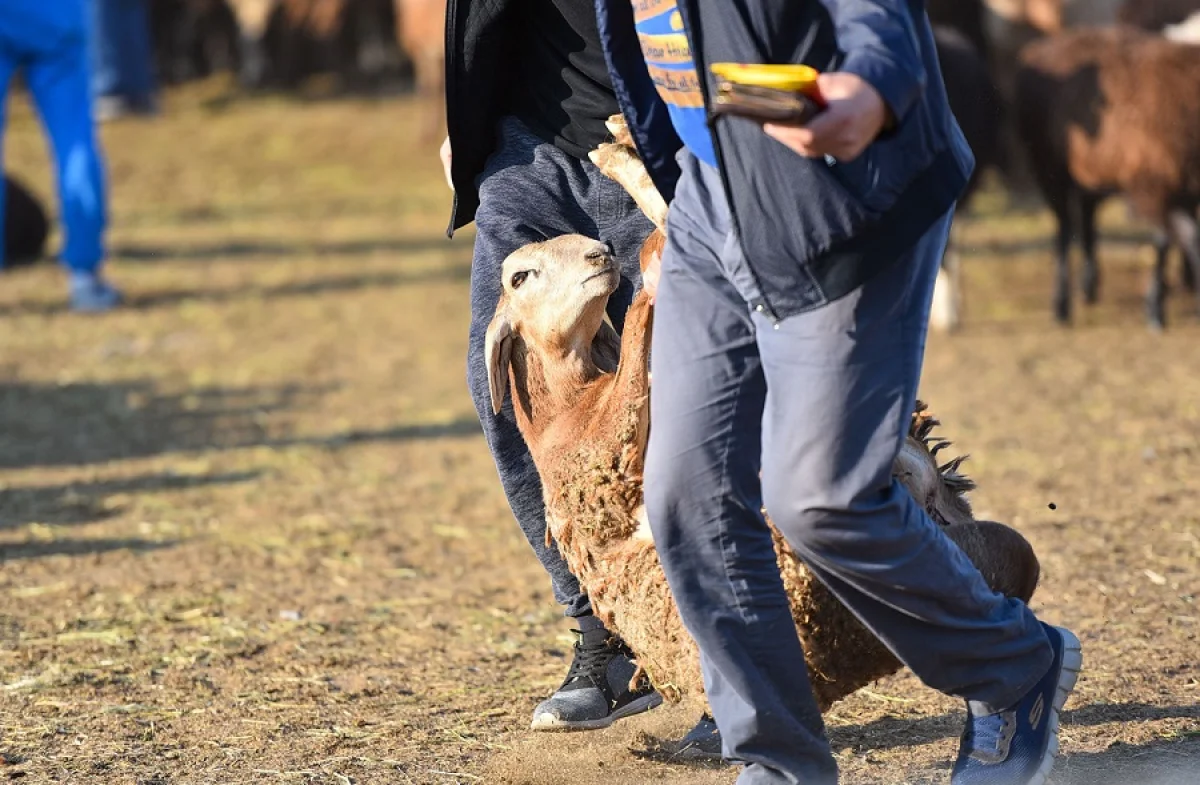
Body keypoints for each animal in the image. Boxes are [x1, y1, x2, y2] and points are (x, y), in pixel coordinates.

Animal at [1017, 23, 1200, 326]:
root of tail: (1038, 49)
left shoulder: (1179, 189)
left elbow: (1175, 239)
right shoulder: (1153, 184)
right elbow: (1173, 240)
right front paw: (1156, 308)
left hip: (1090, 169)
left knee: (1087, 213)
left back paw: (1089, 286)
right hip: (1047, 164)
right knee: (1064, 228)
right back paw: (1062, 304)